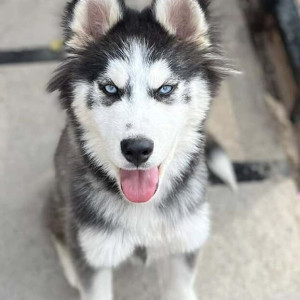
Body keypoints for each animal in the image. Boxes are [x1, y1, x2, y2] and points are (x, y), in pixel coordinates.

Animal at [47, 0, 233, 298]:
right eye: (110, 89)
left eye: (165, 89)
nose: (137, 149)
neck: (143, 209)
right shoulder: (96, 252)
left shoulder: (184, 244)